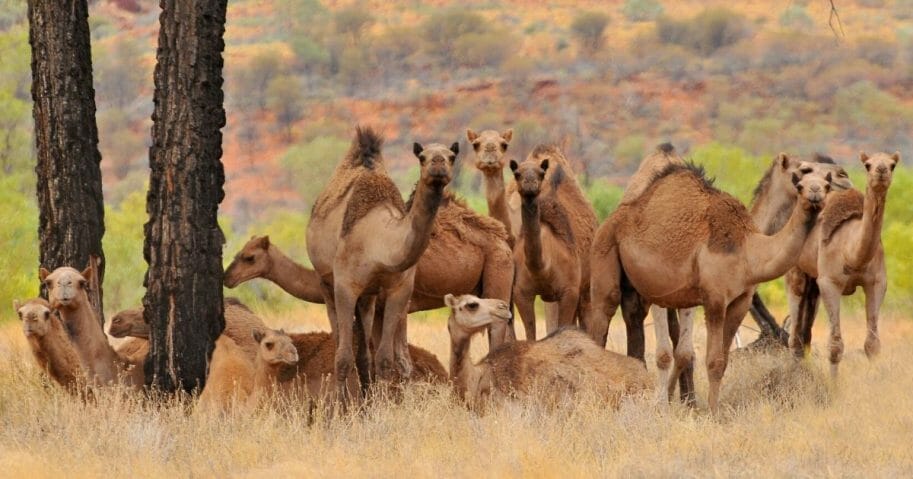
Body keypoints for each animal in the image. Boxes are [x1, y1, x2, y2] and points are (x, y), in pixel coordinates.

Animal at [308, 127, 456, 402]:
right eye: (422, 157)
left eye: (452, 156)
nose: (438, 165)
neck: (380, 243)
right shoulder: (345, 285)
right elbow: (342, 357)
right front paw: (341, 407)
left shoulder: (399, 289)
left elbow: (385, 358)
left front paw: (380, 405)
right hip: (325, 281)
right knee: (339, 341)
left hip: (368, 296)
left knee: (365, 350)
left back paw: (366, 398)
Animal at [506, 146, 600, 342]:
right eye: (517, 173)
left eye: (541, 174)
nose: (530, 183)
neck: (543, 266)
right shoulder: (521, 293)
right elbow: (531, 335)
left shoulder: (569, 290)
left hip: (585, 286)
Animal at [588, 163, 832, 410]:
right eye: (799, 185)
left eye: (827, 185)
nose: (814, 194)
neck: (748, 250)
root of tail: (611, 219)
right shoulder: (714, 299)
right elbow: (713, 361)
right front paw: (711, 412)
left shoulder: (741, 300)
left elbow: (722, 361)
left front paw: (704, 408)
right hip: (604, 251)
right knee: (601, 316)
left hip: (636, 287)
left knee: (634, 315)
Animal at [788, 151, 900, 376]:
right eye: (867, 165)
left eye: (892, 165)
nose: (881, 170)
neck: (852, 253)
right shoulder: (830, 282)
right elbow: (835, 345)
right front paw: (834, 384)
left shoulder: (877, 282)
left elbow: (872, 344)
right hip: (796, 271)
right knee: (794, 332)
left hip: (814, 282)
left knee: (805, 333)